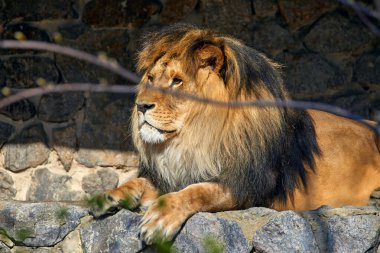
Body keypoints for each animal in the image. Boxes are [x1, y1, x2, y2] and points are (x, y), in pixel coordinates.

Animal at [93, 25, 380, 243]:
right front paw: (111, 195)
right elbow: (141, 181)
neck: (195, 137)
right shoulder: (177, 171)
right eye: (151, 78)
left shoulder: (247, 188)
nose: (140, 105)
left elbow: (199, 191)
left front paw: (161, 217)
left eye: (177, 81)